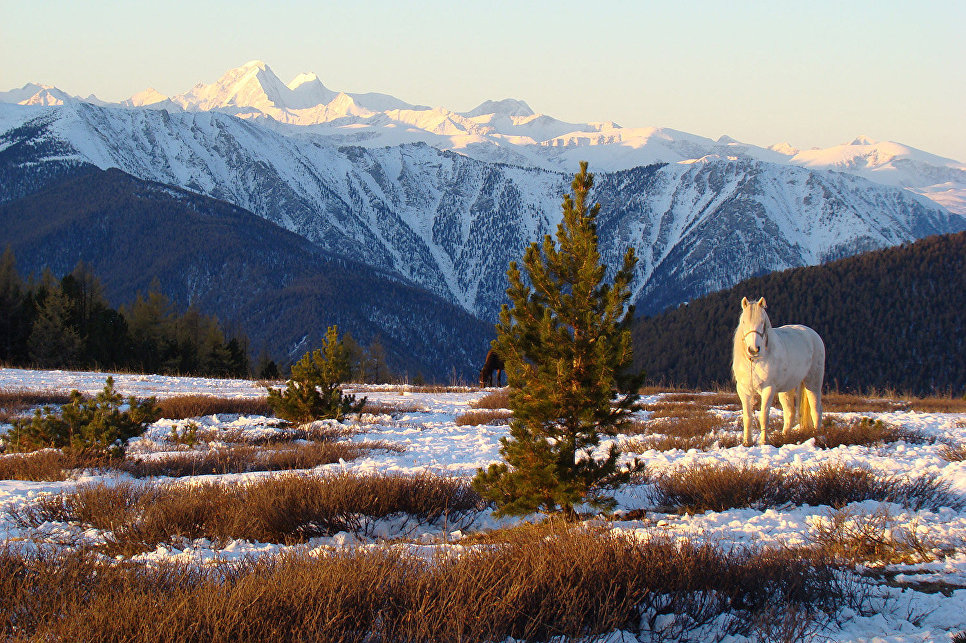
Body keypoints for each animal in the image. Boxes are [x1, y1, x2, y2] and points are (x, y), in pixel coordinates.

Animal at [732, 298, 824, 446]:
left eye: (762, 322)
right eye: (744, 321)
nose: (753, 349)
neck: (755, 361)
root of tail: (813, 334)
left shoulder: (768, 388)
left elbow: (764, 415)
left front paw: (764, 442)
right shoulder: (743, 390)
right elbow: (747, 416)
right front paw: (747, 442)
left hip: (813, 382)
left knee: (816, 409)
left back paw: (816, 436)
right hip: (787, 388)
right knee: (790, 412)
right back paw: (785, 436)